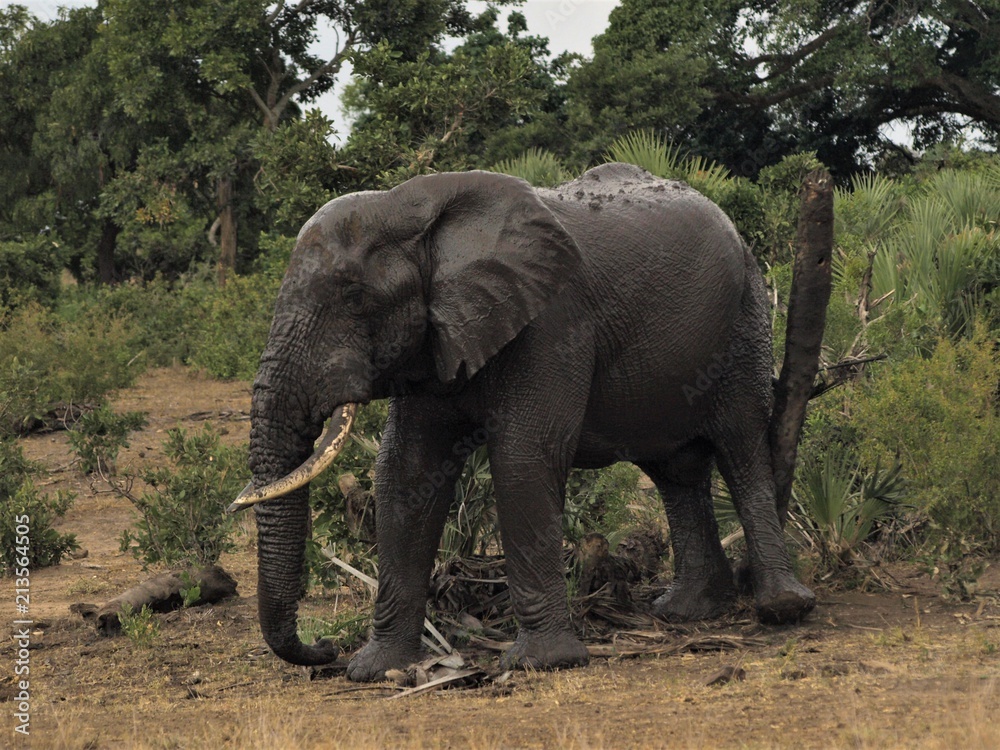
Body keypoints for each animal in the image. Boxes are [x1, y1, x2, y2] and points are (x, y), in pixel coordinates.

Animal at [229, 162, 816, 681]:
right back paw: (688, 611)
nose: (323, 649)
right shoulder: (435, 338)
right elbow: (405, 471)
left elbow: (523, 457)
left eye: (353, 297)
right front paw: (374, 669)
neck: (410, 207)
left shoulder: (551, 320)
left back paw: (781, 609)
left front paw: (540, 663)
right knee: (675, 470)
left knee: (741, 445)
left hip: (745, 317)